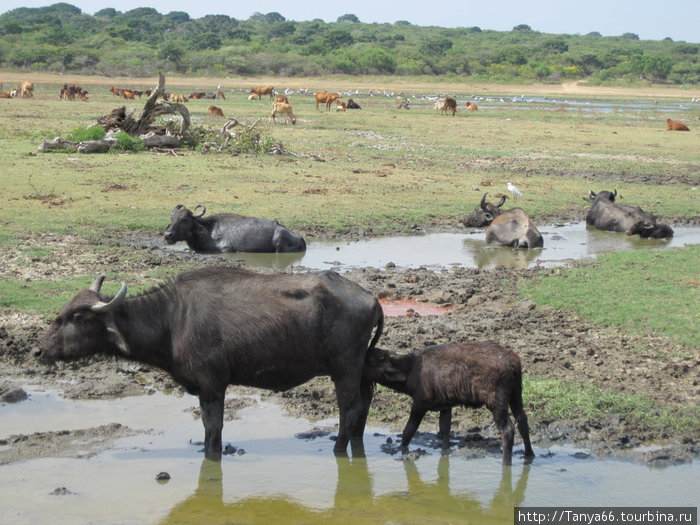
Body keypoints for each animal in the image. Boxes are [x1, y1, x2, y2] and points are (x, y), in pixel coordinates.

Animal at [31, 268, 382, 456]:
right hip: (361, 368)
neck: (172, 319)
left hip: (344, 370)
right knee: (364, 403)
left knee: (349, 408)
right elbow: (207, 427)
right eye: (63, 310)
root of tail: (371, 298)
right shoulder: (204, 388)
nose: (38, 350)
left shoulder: (213, 385)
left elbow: (213, 427)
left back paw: (338, 448)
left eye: (77, 317)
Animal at [165, 204, 308, 253]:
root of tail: (300, 237)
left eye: (185, 220)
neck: (207, 230)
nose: (167, 235)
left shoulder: (226, 249)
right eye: (172, 218)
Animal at [364, 342, 532, 464]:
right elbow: (444, 429)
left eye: (369, 359)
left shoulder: (419, 403)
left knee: (508, 430)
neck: (410, 370)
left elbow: (408, 431)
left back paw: (506, 463)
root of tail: (513, 362)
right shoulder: (446, 406)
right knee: (523, 420)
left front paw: (402, 450)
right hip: (516, 394)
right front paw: (445, 451)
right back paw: (529, 454)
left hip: (497, 402)